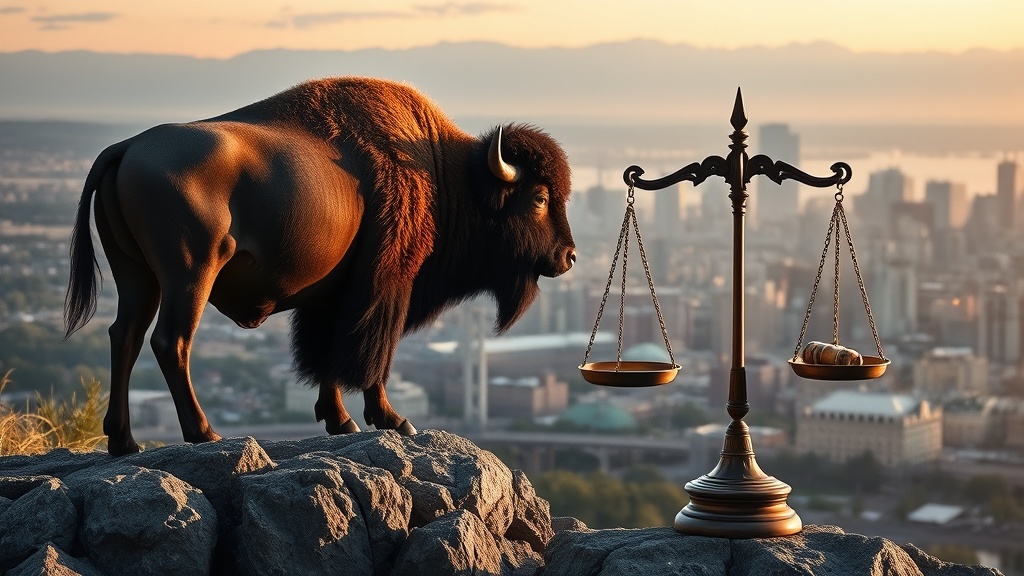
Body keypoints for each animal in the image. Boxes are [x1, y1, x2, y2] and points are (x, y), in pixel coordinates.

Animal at [64, 77, 576, 456]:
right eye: (538, 198)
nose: (569, 257)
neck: (444, 172)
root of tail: (128, 147)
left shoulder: (332, 295)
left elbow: (326, 355)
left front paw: (341, 422)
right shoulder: (385, 285)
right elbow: (371, 356)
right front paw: (395, 421)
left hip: (137, 277)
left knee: (125, 336)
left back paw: (125, 442)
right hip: (189, 275)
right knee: (171, 342)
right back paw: (203, 433)